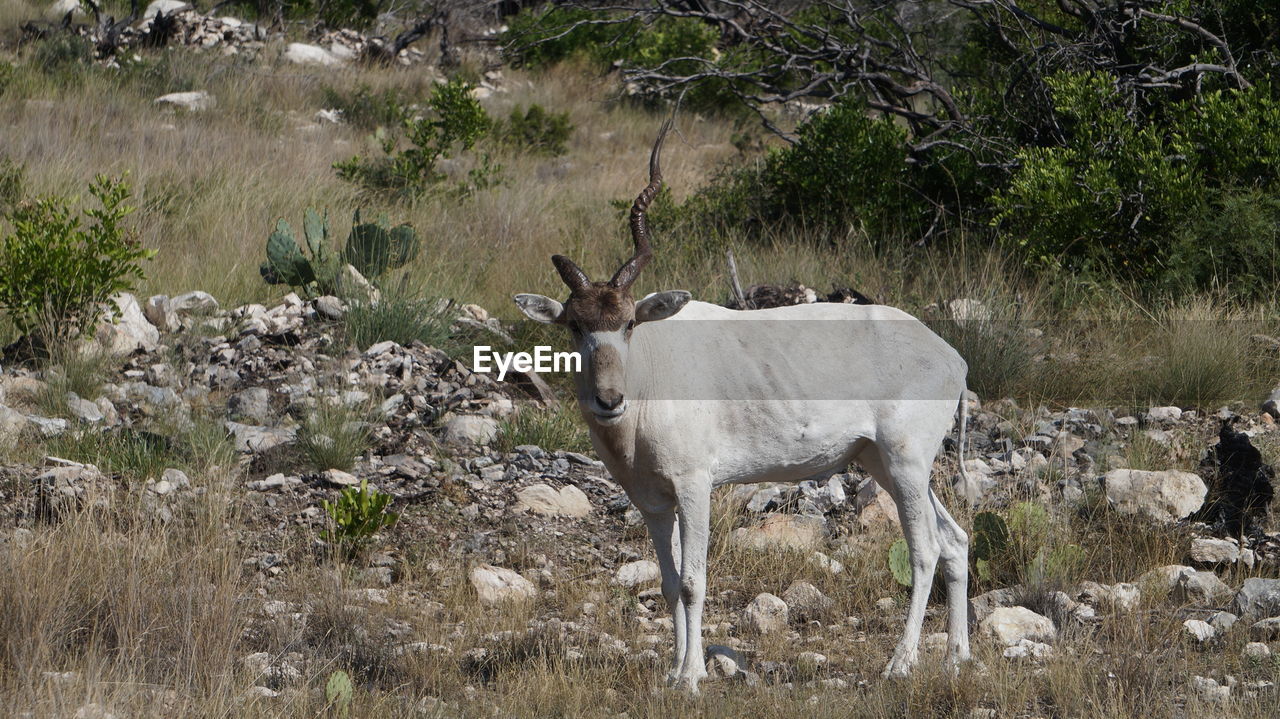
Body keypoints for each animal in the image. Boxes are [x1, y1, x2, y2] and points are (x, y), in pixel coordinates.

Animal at [509, 122, 967, 690]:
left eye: (630, 322)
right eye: (575, 325)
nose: (609, 400)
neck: (651, 371)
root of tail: (951, 357)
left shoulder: (695, 486)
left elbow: (692, 581)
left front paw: (690, 678)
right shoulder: (653, 502)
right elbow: (667, 583)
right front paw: (675, 672)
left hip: (905, 463)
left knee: (925, 550)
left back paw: (900, 664)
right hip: (881, 462)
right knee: (956, 541)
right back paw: (957, 659)